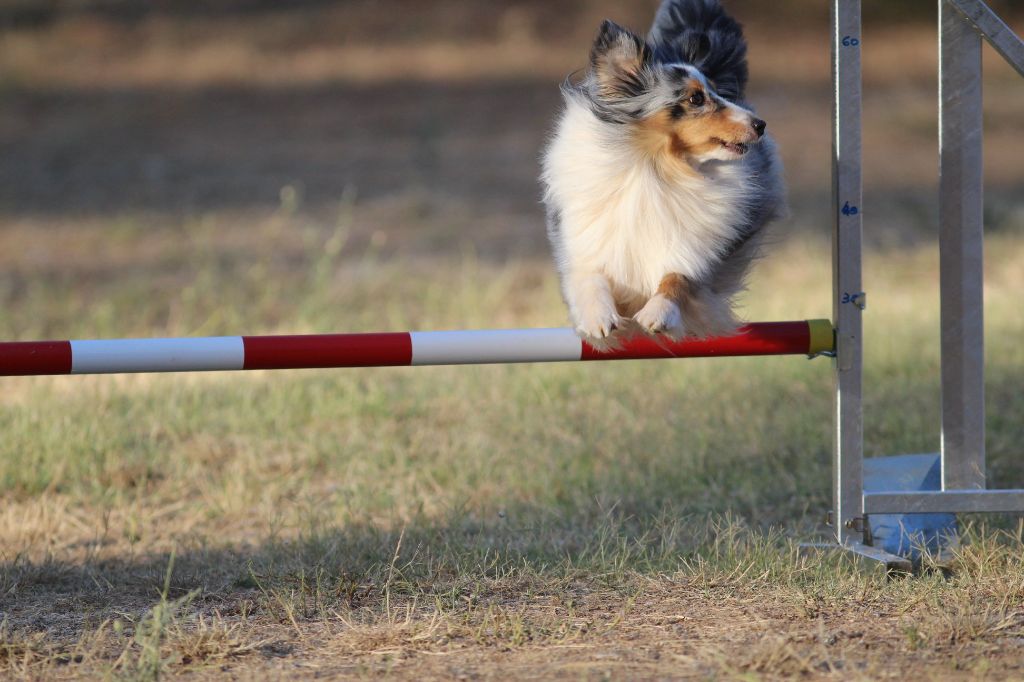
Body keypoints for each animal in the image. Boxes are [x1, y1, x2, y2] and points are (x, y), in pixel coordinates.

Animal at [544, 0, 782, 339]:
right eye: (696, 98)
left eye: (718, 93)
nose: (760, 125)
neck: (658, 167)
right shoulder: (586, 244)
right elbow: (590, 277)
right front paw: (598, 319)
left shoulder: (696, 250)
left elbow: (676, 277)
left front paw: (656, 314)